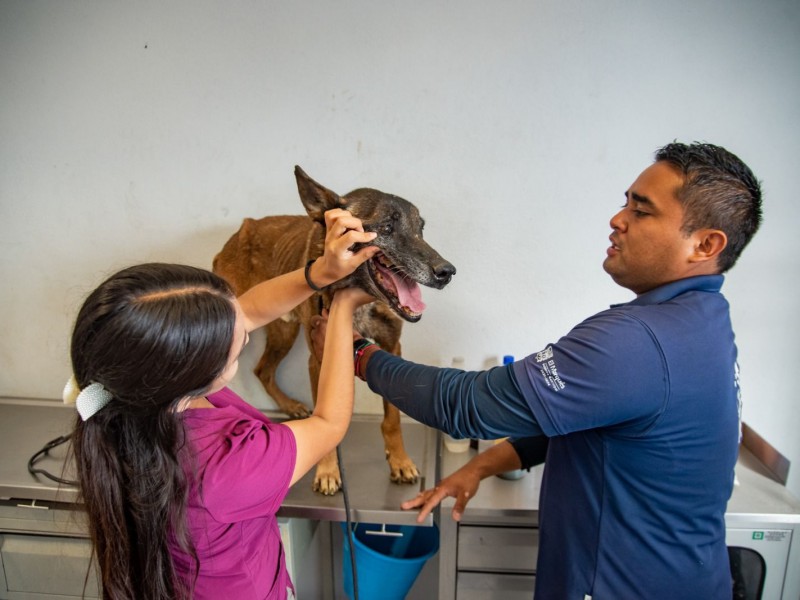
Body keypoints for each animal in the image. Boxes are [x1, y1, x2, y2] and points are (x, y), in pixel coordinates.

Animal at [211, 166, 456, 494]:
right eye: (386, 227)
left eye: (421, 230)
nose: (447, 272)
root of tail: (242, 229)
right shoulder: (319, 359)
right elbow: (324, 420)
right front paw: (327, 470)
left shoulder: (392, 347)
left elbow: (392, 416)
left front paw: (400, 461)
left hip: (283, 330)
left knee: (263, 370)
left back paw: (290, 405)